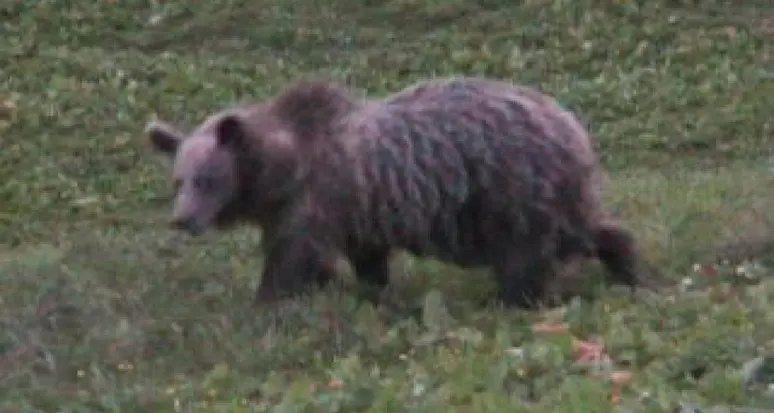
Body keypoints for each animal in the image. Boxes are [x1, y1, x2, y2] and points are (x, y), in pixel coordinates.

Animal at [145, 75, 645, 309]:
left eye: (207, 178)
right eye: (178, 180)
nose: (182, 219)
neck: (280, 176)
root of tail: (571, 123)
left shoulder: (321, 198)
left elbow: (293, 258)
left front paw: (266, 300)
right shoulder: (355, 211)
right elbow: (365, 261)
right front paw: (364, 291)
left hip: (511, 190)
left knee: (527, 255)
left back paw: (511, 299)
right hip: (548, 195)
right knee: (587, 229)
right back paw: (630, 269)